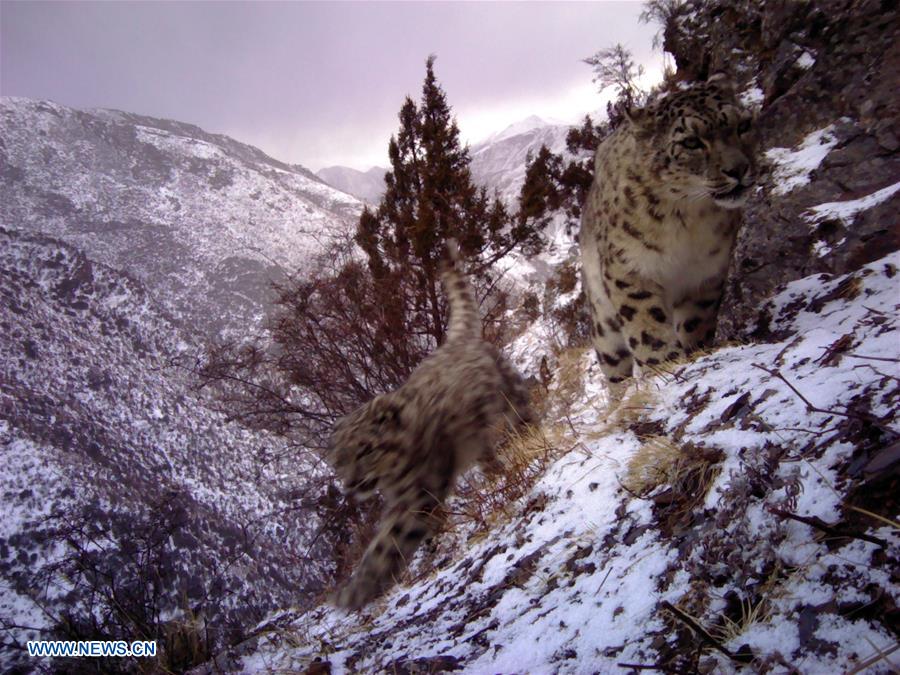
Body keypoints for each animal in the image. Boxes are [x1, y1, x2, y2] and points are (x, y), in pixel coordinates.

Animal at [326, 239, 534, 610]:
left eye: (365, 449)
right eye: (339, 460)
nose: (350, 484)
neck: (391, 481)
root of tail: (457, 340)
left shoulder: (417, 494)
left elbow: (388, 542)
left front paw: (354, 592)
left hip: (510, 394)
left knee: (524, 412)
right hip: (478, 437)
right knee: (487, 453)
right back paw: (496, 472)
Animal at [579, 74, 757, 399]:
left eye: (742, 125)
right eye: (691, 141)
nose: (738, 169)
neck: (689, 220)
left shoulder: (706, 273)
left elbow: (696, 321)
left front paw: (697, 352)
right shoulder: (631, 268)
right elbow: (646, 326)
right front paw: (665, 364)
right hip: (603, 322)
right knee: (614, 367)